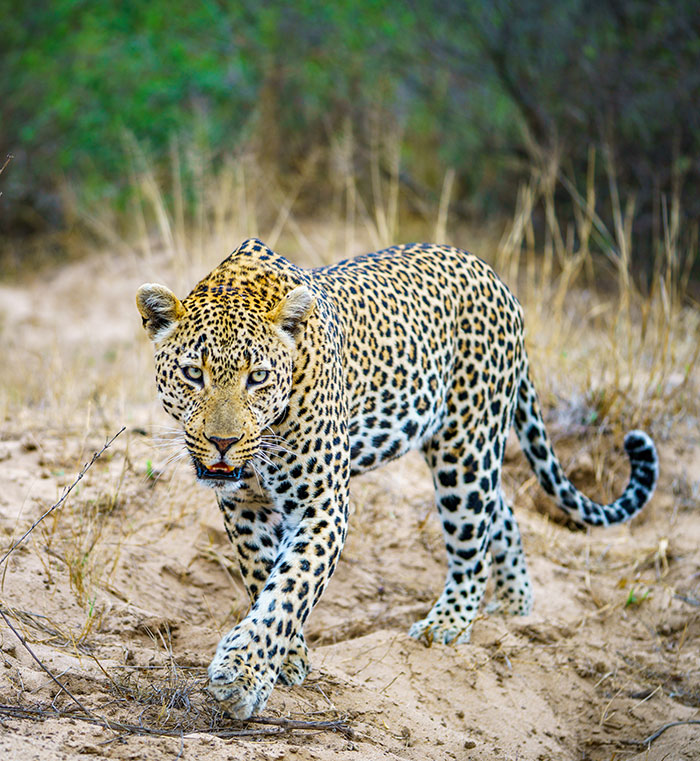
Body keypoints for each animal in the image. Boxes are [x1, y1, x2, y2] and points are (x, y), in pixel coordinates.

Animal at [135, 238, 656, 720]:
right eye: (192, 373)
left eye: (258, 377)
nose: (222, 441)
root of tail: (491, 273)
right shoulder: (243, 505)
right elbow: (264, 574)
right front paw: (288, 658)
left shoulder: (323, 505)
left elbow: (291, 588)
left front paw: (243, 675)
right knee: (501, 509)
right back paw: (513, 603)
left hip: (465, 447)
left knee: (473, 540)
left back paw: (448, 623)